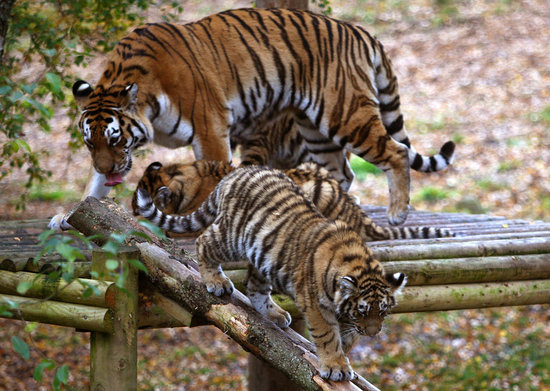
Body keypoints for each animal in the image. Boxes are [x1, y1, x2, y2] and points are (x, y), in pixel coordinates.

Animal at [49, 6, 458, 230]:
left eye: (116, 139)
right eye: (90, 143)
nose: (108, 166)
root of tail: (359, 30)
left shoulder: (211, 129)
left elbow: (211, 178)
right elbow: (93, 189)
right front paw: (69, 216)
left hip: (344, 113)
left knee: (396, 152)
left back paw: (398, 213)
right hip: (315, 128)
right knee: (341, 173)